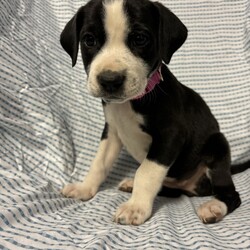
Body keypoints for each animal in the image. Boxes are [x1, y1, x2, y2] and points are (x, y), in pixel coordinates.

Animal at [59, 0, 249, 226]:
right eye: (89, 40)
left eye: (140, 39)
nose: (110, 80)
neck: (130, 103)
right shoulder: (112, 132)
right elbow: (99, 163)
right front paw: (85, 188)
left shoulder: (171, 135)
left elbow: (146, 171)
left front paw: (135, 207)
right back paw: (132, 184)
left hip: (217, 145)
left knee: (230, 193)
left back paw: (215, 207)